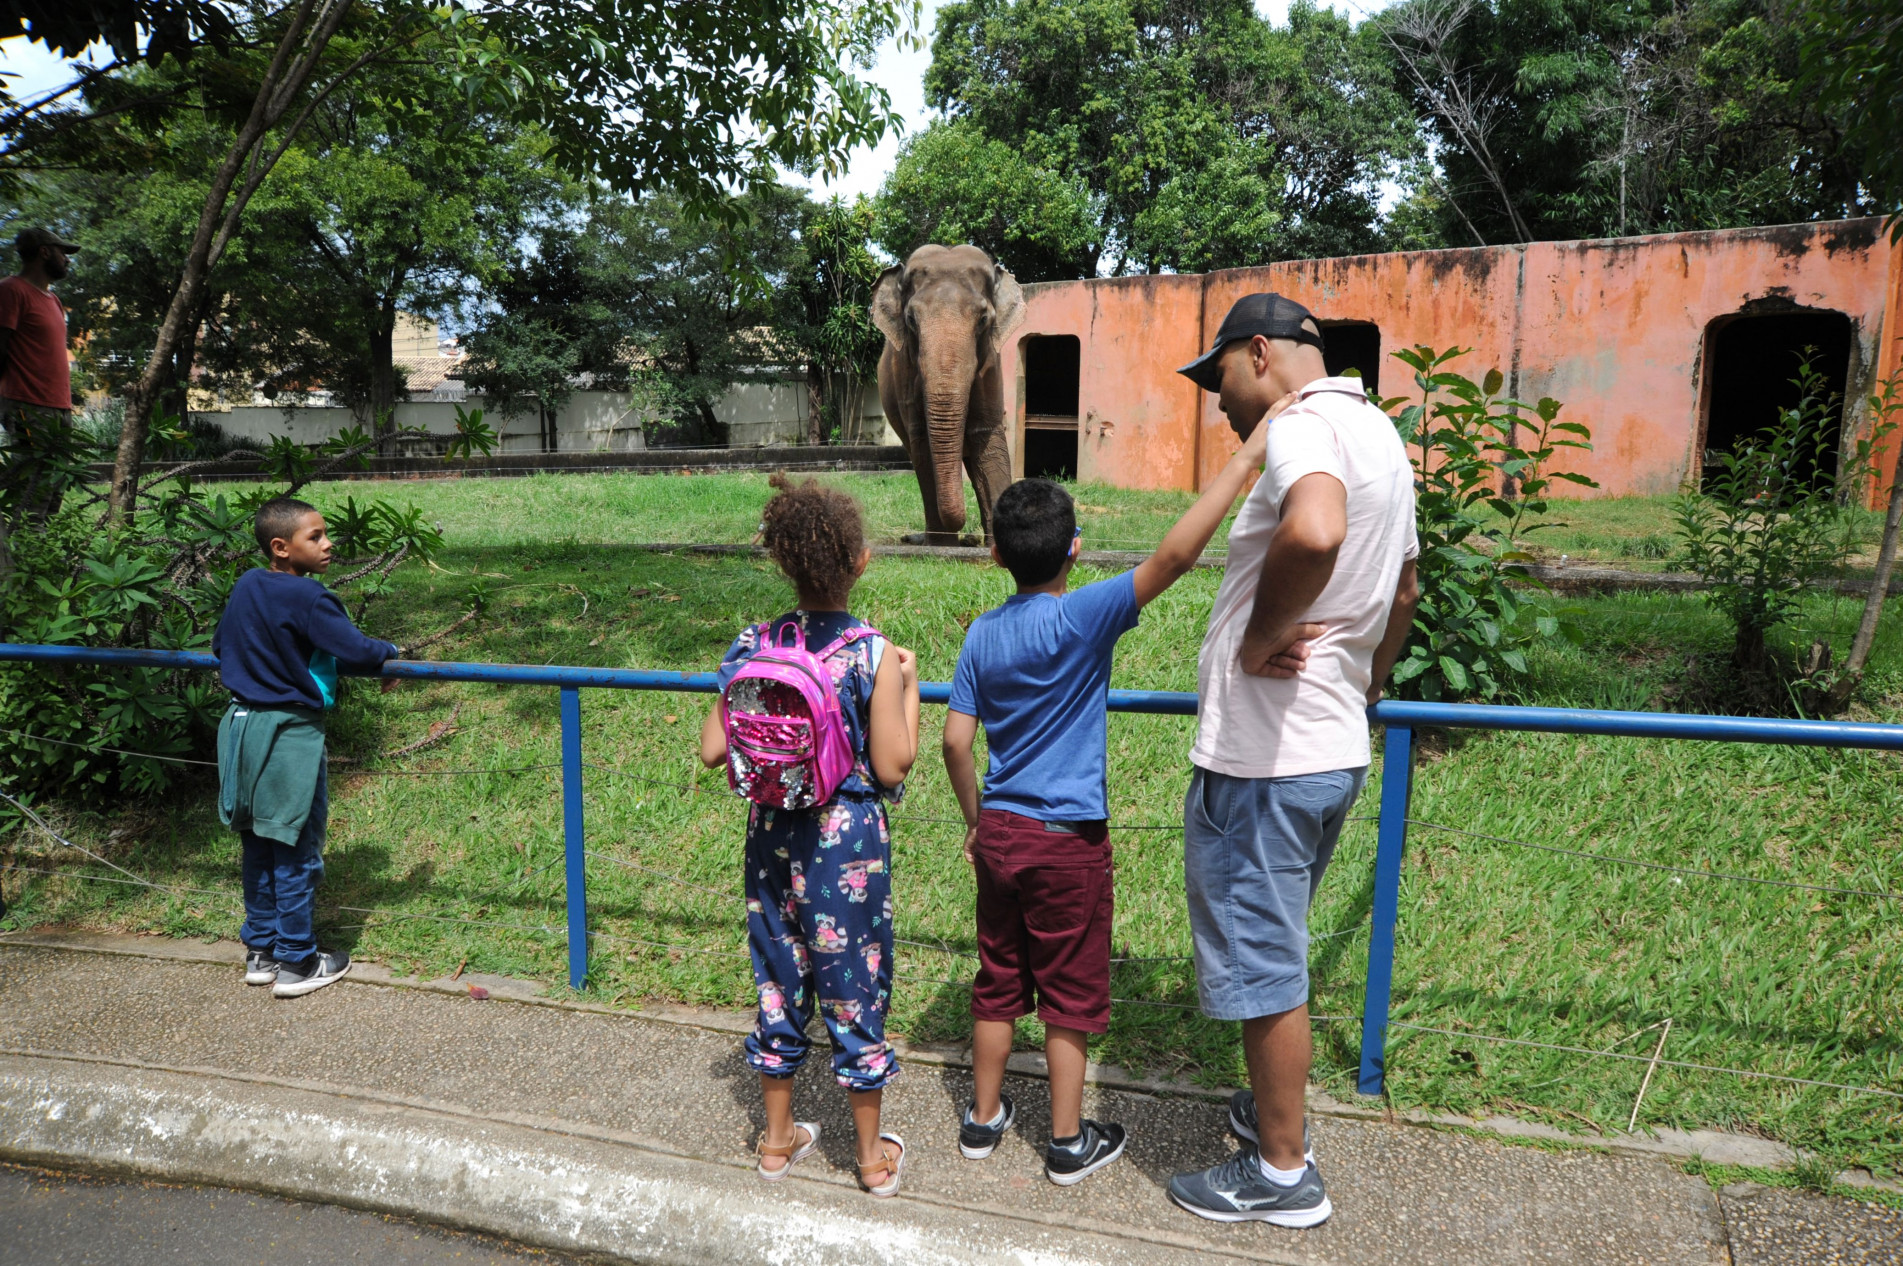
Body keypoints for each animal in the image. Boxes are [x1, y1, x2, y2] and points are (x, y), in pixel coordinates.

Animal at [871, 242, 1027, 544]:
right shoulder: (904, 371)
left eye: (983, 319)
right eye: (911, 320)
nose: (969, 535)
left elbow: (986, 435)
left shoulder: (991, 364)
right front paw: (942, 545)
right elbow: (922, 445)